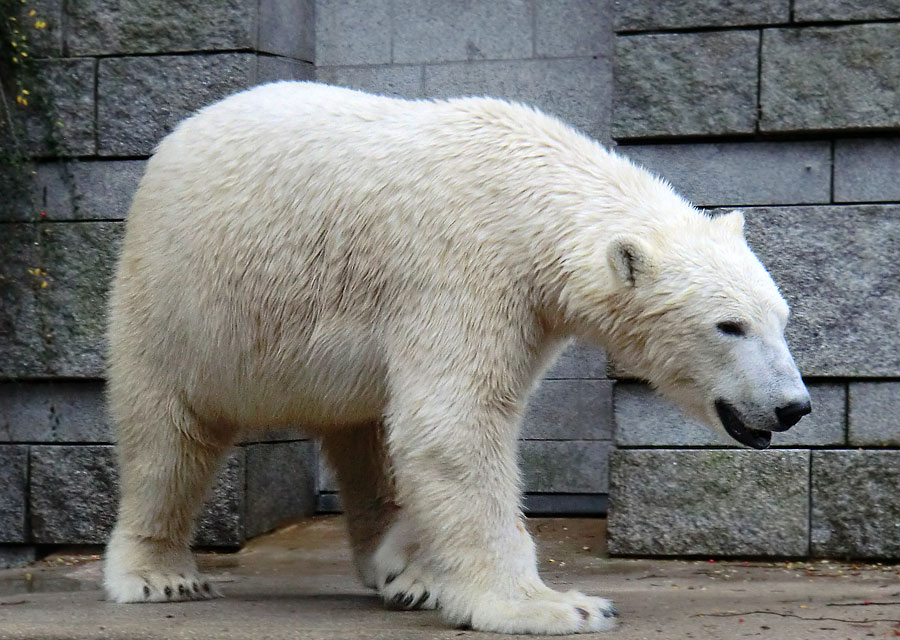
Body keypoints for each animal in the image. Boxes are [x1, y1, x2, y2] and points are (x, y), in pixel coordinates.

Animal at [102, 81, 812, 636]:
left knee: (366, 432)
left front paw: (427, 573)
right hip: (180, 299)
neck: (528, 190)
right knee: (168, 434)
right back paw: (159, 575)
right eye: (729, 326)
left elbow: (435, 427)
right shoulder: (462, 268)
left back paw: (400, 566)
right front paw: (558, 607)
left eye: (781, 318)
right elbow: (456, 424)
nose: (793, 406)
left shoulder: (521, 305)